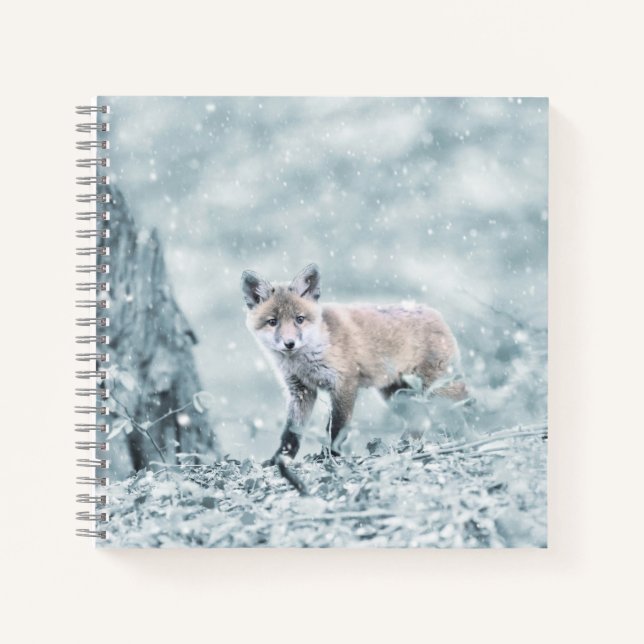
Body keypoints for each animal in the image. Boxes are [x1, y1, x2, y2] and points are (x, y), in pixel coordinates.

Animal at [241, 263, 468, 464]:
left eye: (299, 319)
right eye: (273, 322)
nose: (289, 343)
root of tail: (435, 313)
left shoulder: (344, 383)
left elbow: (336, 428)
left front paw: (330, 456)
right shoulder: (301, 391)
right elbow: (291, 433)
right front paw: (279, 460)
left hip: (436, 390)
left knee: (460, 409)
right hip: (396, 395)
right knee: (419, 420)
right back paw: (402, 448)